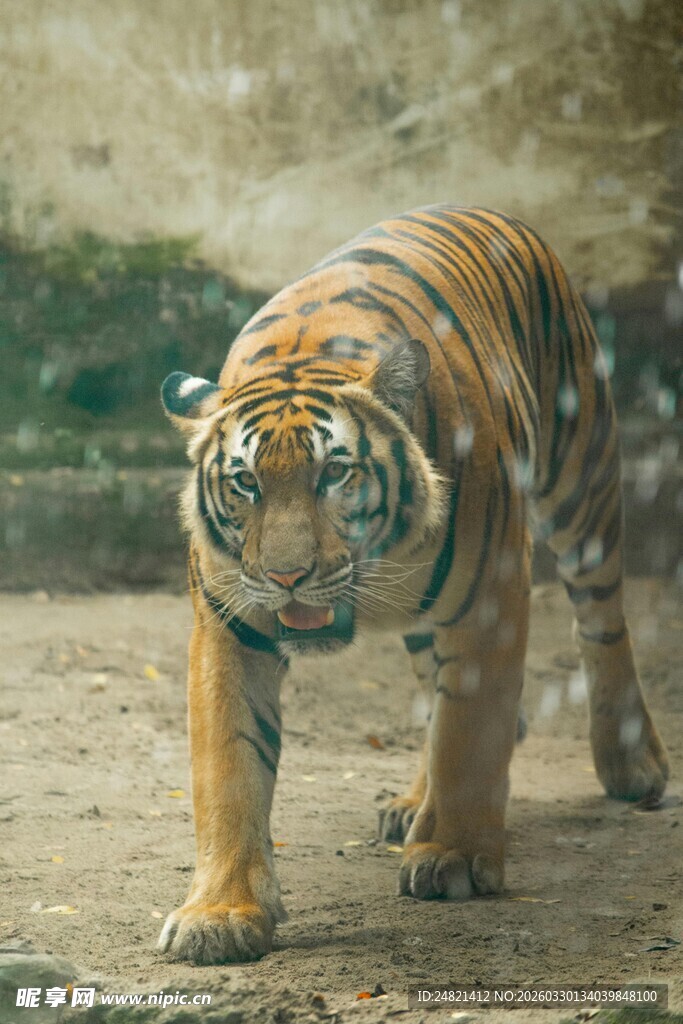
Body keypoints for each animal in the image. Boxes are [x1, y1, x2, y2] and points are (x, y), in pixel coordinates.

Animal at [158, 205, 668, 965]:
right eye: (245, 482)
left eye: (334, 473)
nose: (285, 576)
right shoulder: (230, 622)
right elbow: (229, 767)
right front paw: (219, 913)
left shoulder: (491, 600)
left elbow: (469, 731)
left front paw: (453, 856)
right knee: (436, 681)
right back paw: (410, 808)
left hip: (583, 481)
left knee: (600, 622)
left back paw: (631, 764)